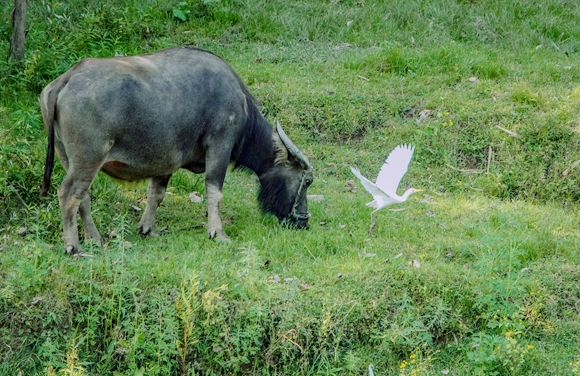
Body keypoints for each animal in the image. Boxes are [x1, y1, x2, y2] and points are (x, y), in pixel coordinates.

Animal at [39, 46, 312, 253]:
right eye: (307, 181)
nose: (304, 221)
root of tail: (66, 79)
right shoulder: (220, 145)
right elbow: (214, 191)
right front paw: (218, 233)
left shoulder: (164, 162)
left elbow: (156, 194)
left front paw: (148, 229)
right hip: (88, 159)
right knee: (68, 193)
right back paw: (74, 247)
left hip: (67, 158)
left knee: (82, 197)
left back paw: (94, 239)